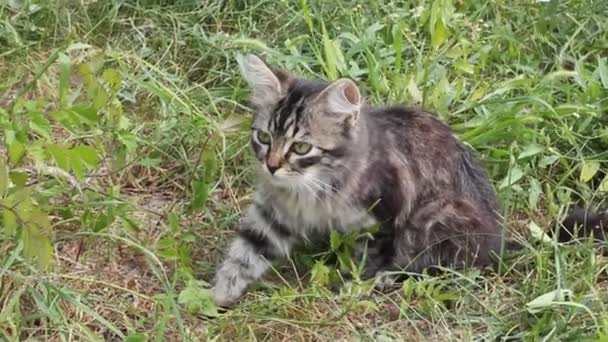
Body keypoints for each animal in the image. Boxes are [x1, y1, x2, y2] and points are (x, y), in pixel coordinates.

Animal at [210, 53, 608, 308]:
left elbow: (367, 261)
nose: (272, 166)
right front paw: (218, 294)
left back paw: (393, 278)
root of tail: (498, 239)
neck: (308, 189)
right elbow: (245, 253)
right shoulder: (272, 214)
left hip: (440, 218)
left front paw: (352, 288)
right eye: (264, 138)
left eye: (301, 146)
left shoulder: (383, 217)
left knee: (447, 270)